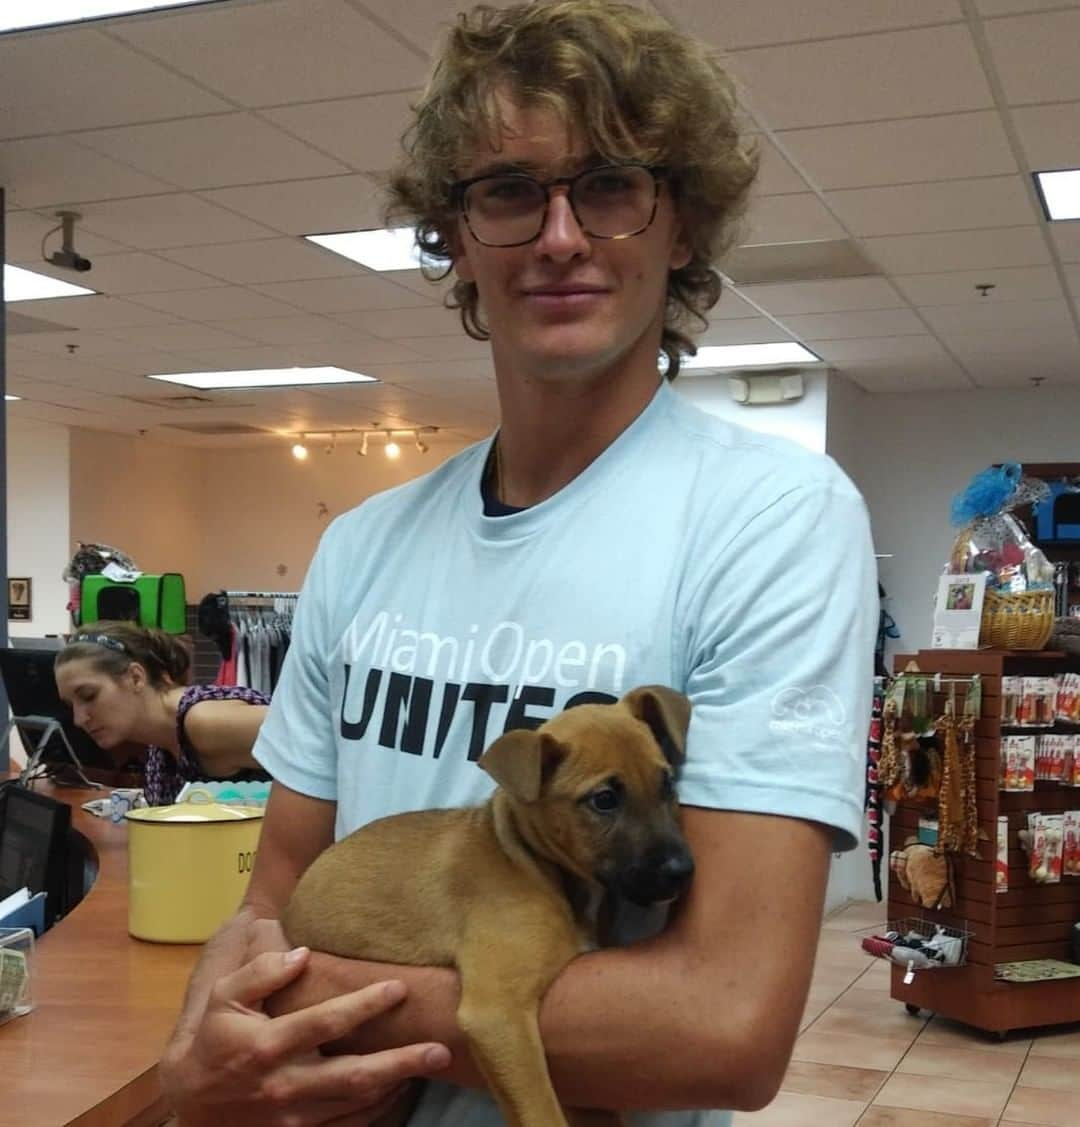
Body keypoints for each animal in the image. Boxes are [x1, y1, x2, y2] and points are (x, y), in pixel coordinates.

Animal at [282, 680, 698, 1127]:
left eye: (667, 784)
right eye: (604, 799)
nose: (682, 870)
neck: (537, 866)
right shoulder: (498, 1014)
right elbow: (543, 1112)